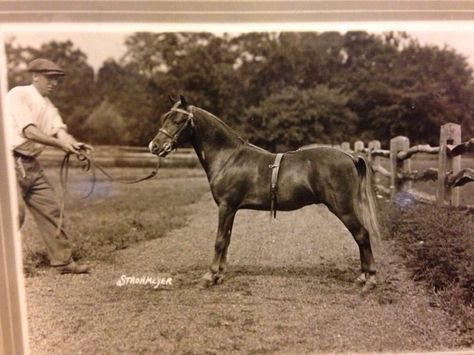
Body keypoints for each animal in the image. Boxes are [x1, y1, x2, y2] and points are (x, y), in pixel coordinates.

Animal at [148, 96, 382, 290]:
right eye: (165, 118)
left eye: (178, 120)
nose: (154, 146)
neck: (229, 157)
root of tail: (351, 157)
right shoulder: (231, 208)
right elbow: (227, 239)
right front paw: (220, 275)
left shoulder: (225, 206)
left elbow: (219, 240)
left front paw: (209, 276)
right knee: (360, 236)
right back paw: (362, 277)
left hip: (343, 208)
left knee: (362, 235)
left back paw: (370, 279)